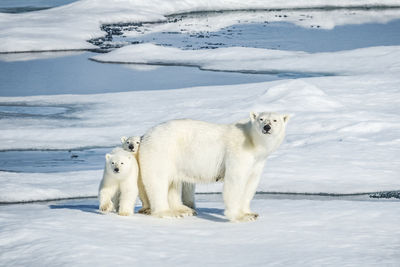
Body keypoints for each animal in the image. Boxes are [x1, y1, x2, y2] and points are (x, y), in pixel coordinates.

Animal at [139, 111, 290, 222]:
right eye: (261, 119)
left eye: (275, 120)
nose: (267, 127)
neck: (252, 142)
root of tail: (145, 135)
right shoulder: (238, 152)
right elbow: (235, 181)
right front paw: (239, 216)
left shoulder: (257, 161)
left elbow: (251, 183)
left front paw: (250, 213)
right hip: (162, 151)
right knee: (158, 180)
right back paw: (167, 212)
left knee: (173, 182)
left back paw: (183, 209)